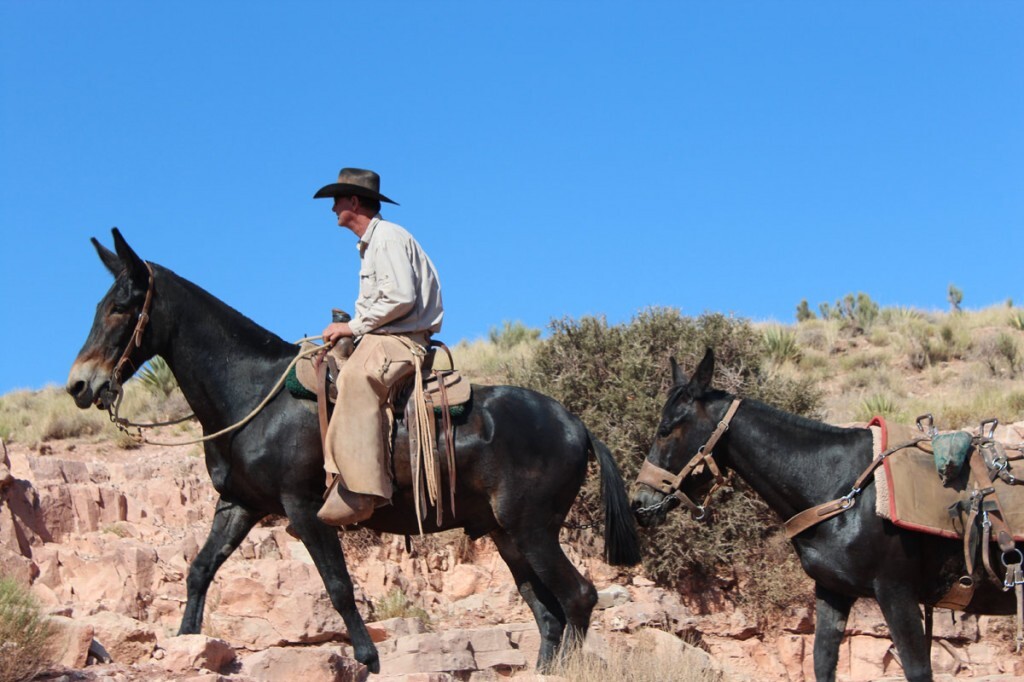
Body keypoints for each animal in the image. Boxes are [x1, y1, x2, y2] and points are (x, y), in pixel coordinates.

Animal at [66, 228, 641, 674]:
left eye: (121, 308)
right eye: (98, 306)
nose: (79, 385)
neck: (253, 391)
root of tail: (577, 424)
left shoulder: (304, 508)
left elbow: (339, 586)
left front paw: (367, 658)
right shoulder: (240, 505)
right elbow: (200, 569)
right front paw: (188, 641)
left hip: (533, 528)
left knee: (577, 598)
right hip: (507, 536)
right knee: (547, 614)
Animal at [630, 348, 1016, 682]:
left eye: (665, 430)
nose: (639, 503)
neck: (839, 485)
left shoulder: (897, 592)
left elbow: (917, 670)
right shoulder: (833, 592)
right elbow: (822, 662)